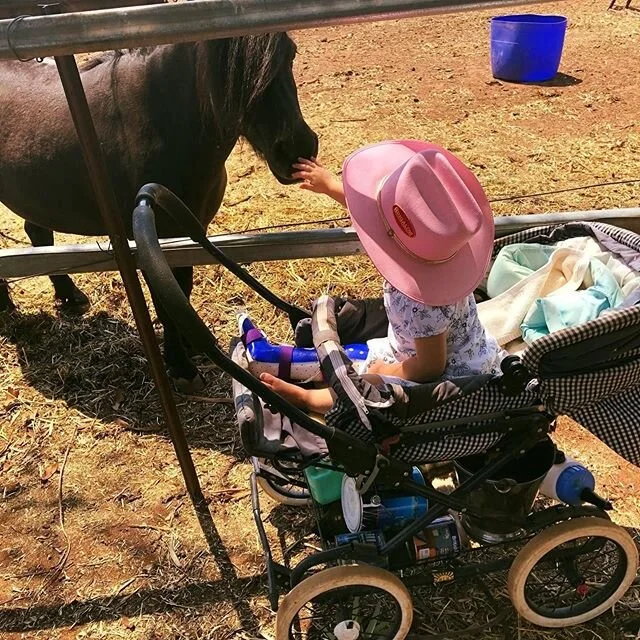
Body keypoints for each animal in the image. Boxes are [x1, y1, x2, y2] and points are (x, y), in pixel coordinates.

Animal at [0, 33, 318, 389]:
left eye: (291, 55)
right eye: (232, 73)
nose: (298, 150)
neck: (159, 120)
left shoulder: (185, 232)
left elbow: (183, 290)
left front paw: (188, 344)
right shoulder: (153, 234)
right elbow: (166, 302)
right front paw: (180, 366)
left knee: (38, 234)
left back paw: (69, 296)